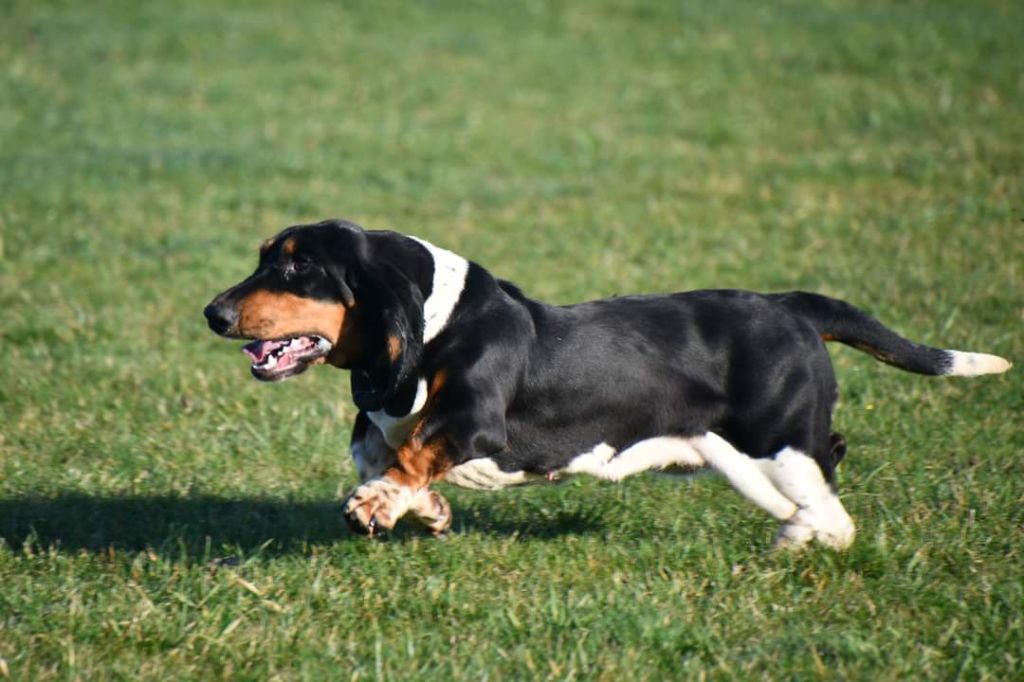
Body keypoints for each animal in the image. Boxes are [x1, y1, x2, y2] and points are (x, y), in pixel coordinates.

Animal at [203, 218, 1011, 548]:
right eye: (265, 256)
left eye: (299, 265)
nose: (212, 312)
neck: (431, 322)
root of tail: (790, 307)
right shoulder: (388, 429)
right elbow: (389, 456)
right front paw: (423, 511)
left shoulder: (473, 420)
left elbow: (411, 452)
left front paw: (378, 507)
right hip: (741, 455)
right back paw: (794, 533)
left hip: (778, 438)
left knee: (833, 499)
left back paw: (808, 539)